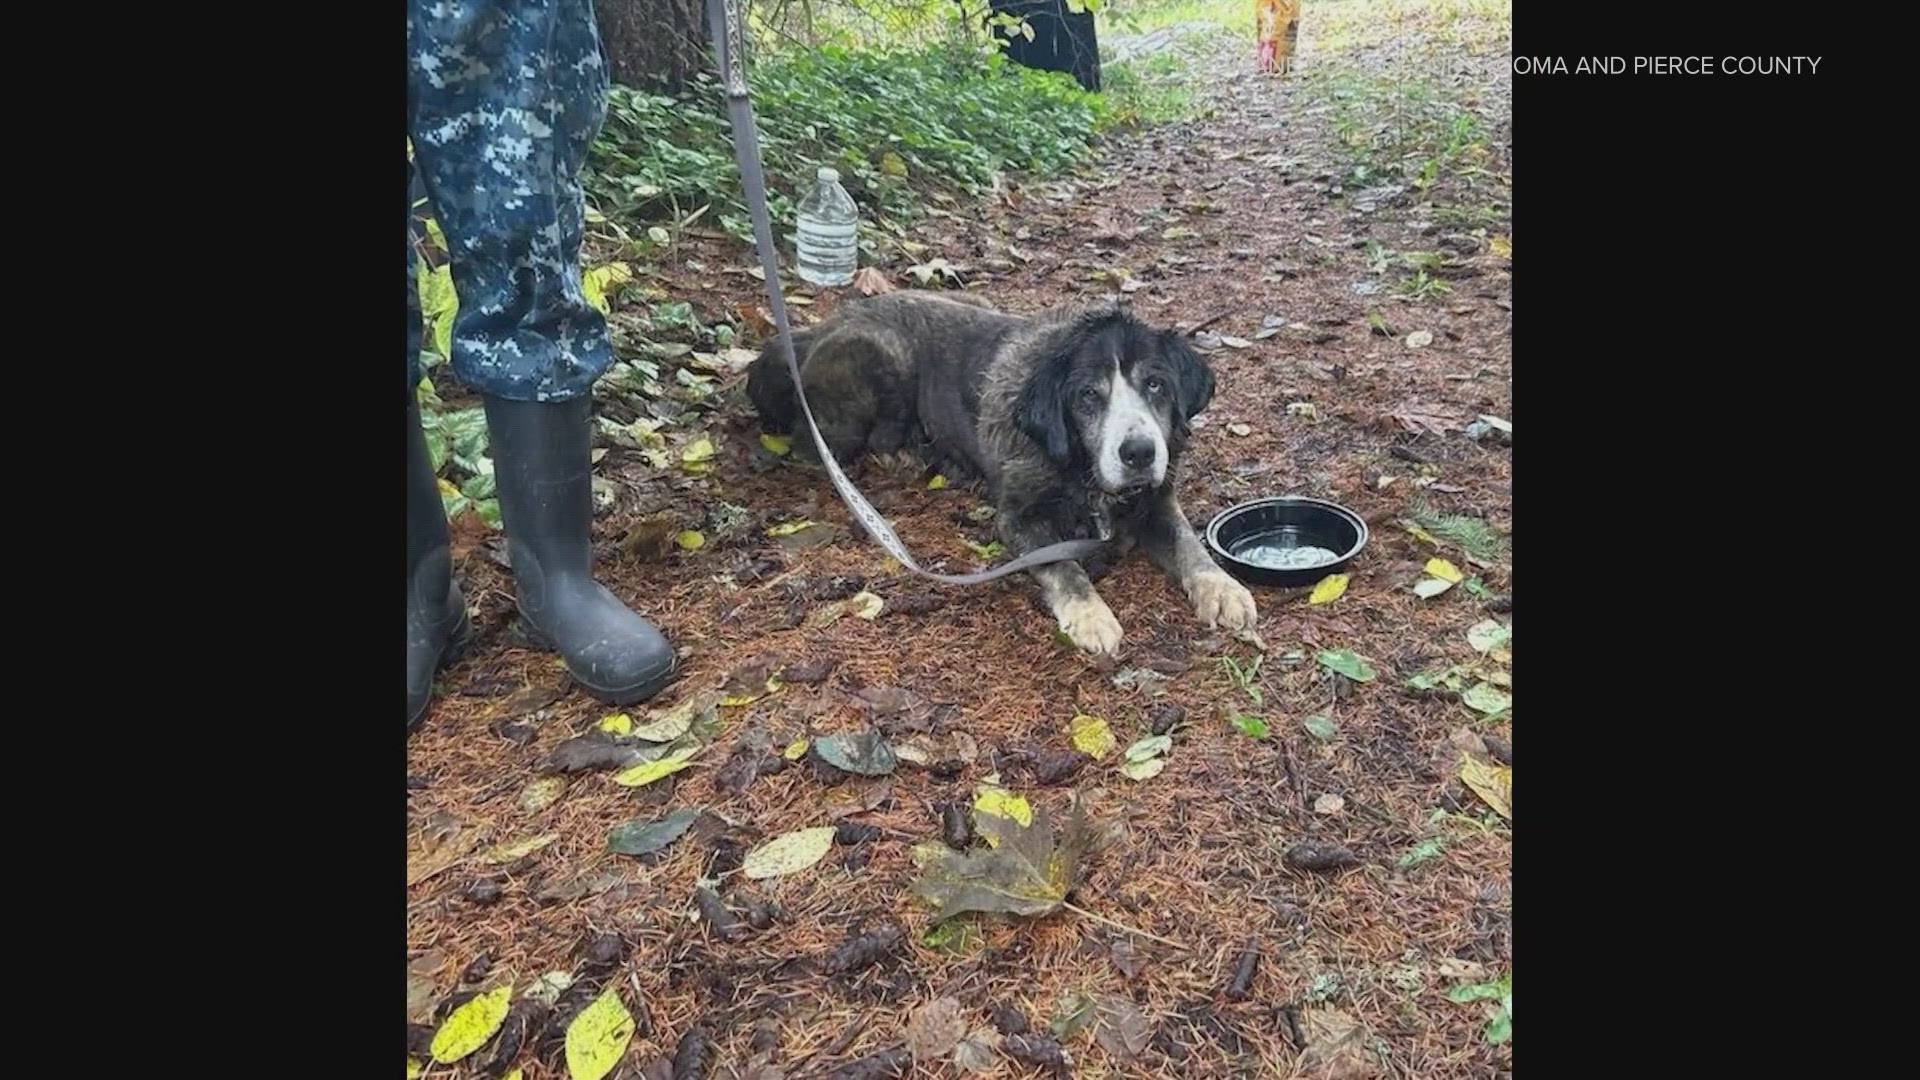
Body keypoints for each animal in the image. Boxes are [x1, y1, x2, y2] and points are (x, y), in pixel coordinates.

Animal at [737, 290, 1259, 653]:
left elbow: (1187, 542)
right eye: (1087, 396)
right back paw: (904, 456)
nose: (1139, 453)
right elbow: (1063, 566)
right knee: (817, 439)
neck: (1081, 471)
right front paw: (1090, 616)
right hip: (877, 363)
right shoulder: (1018, 517)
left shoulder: (1155, 500)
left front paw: (1222, 587)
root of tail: (821, 326)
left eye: (1155, 385)